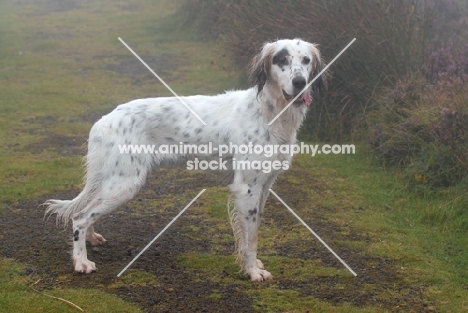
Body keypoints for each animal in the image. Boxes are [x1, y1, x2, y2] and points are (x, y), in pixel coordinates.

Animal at [45, 38, 328, 280]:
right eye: (281, 59)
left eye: (306, 60)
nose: (300, 82)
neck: (269, 112)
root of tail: (105, 120)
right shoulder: (246, 188)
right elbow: (250, 239)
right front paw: (251, 271)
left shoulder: (264, 186)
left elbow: (254, 232)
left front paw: (253, 264)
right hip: (125, 185)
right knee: (80, 216)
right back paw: (81, 262)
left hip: (112, 182)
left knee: (88, 210)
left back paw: (91, 239)